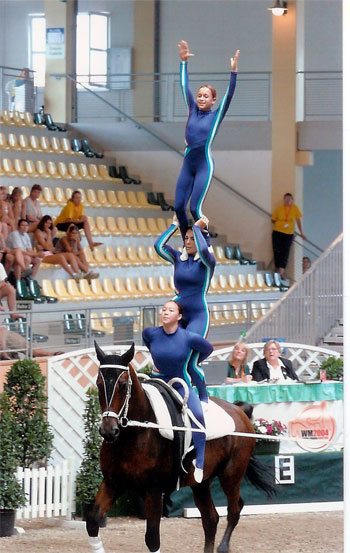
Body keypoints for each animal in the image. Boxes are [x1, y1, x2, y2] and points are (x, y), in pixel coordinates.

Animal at [86, 342, 274, 548]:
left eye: (122, 385)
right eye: (98, 384)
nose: (108, 431)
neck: (135, 433)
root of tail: (239, 410)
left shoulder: (153, 490)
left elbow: (152, 538)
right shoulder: (113, 483)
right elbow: (93, 520)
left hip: (231, 475)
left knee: (234, 509)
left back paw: (223, 547)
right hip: (201, 483)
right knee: (210, 519)